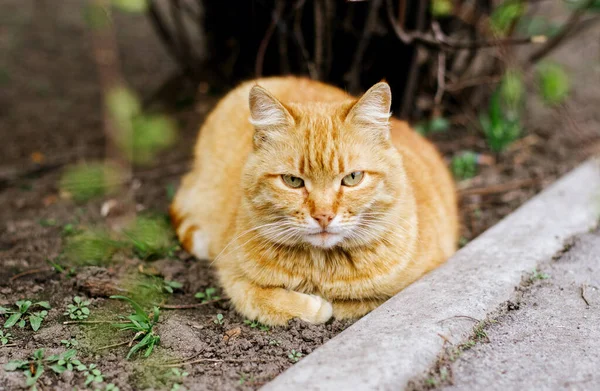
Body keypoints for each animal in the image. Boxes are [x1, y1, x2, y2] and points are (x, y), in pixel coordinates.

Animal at [171, 77, 458, 328]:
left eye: (352, 178)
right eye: (293, 181)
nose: (323, 215)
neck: (322, 268)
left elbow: (359, 301)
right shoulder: (231, 273)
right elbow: (258, 297)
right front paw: (314, 306)